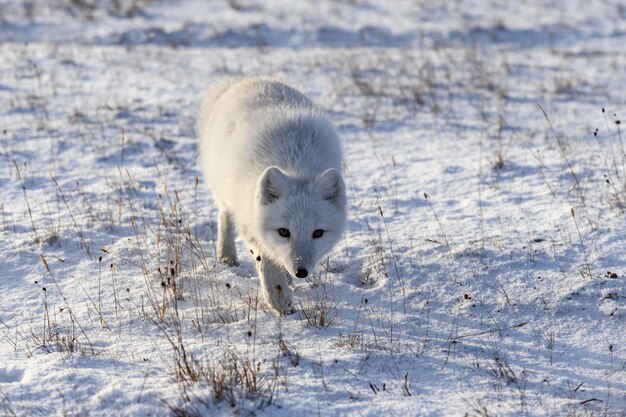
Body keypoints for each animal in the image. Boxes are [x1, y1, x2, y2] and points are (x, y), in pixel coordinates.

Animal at [199, 76, 346, 314]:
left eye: (318, 233)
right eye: (283, 231)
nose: (301, 272)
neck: (296, 165)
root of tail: (251, 79)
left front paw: (287, 281)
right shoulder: (251, 223)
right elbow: (266, 262)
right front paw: (280, 301)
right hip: (226, 193)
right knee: (224, 216)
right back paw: (226, 256)